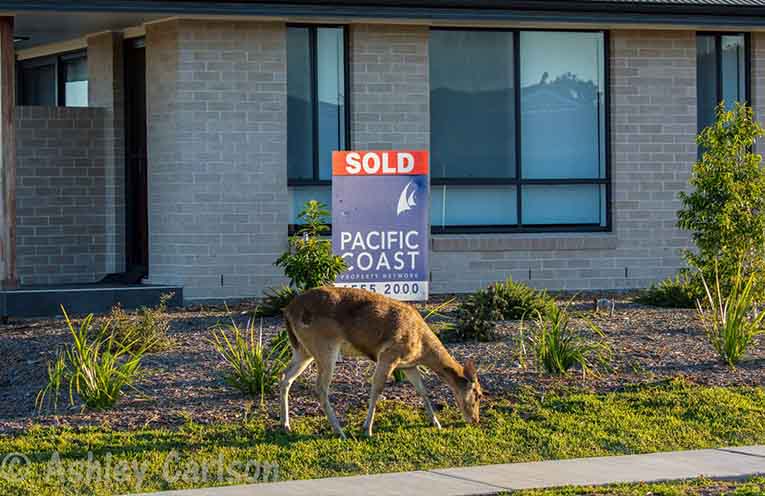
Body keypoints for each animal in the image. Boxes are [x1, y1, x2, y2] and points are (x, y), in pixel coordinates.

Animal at [279, 286, 482, 439]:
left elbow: (422, 390)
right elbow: (377, 389)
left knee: (285, 376)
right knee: (320, 387)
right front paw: (367, 429)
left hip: (302, 349)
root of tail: (288, 311)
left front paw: (436, 423)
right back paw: (340, 432)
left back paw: (286, 425)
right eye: (478, 394)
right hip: (324, 345)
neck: (422, 348)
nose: (476, 420)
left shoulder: (408, 365)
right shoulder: (389, 355)